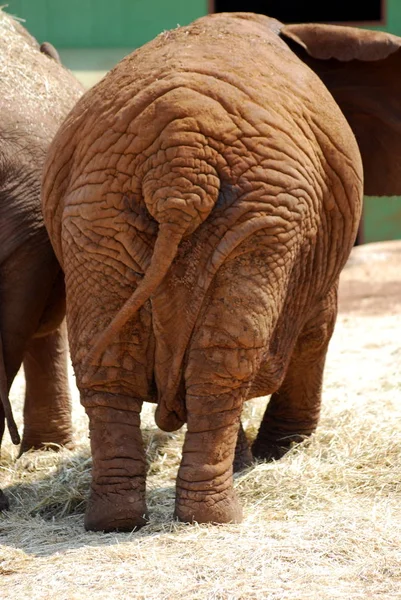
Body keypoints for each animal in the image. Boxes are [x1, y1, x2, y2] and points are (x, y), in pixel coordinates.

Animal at [40, 12, 400, 528]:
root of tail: (180, 166)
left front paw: (254, 457)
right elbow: (320, 324)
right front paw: (280, 452)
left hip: (99, 209)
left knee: (117, 362)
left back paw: (118, 520)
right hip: (266, 213)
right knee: (225, 360)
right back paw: (217, 515)